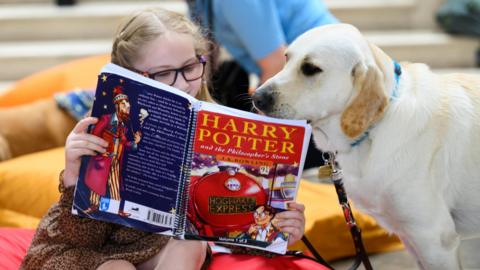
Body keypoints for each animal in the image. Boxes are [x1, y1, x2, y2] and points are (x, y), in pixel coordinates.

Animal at [253, 23, 478, 270]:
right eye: (286, 58)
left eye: (311, 69)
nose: (256, 97)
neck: (376, 127)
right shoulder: (413, 238)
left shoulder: (434, 240)